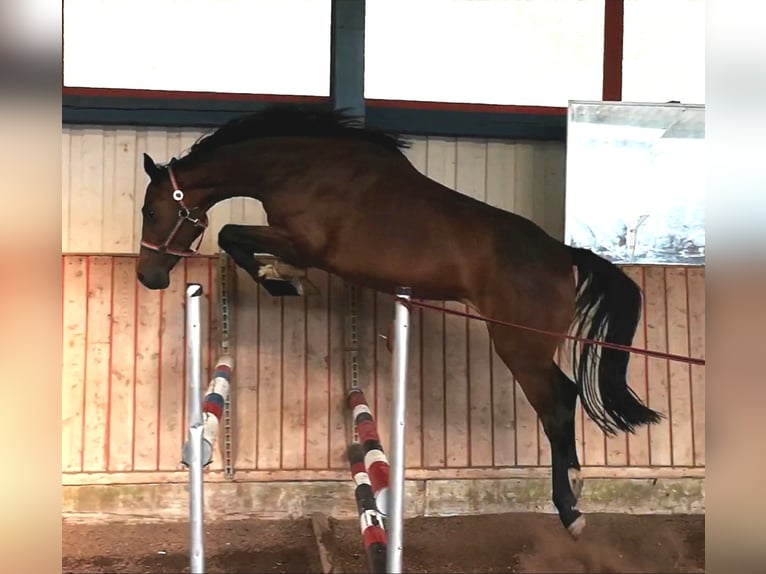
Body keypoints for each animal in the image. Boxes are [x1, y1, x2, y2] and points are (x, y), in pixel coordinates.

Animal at [136, 106, 663, 540]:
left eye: (151, 209)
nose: (148, 276)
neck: (304, 170)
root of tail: (562, 254)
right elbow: (237, 238)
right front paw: (285, 278)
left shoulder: (305, 243)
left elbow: (232, 234)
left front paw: (283, 280)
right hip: (528, 347)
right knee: (567, 397)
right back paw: (576, 488)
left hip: (520, 347)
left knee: (557, 405)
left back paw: (570, 511)